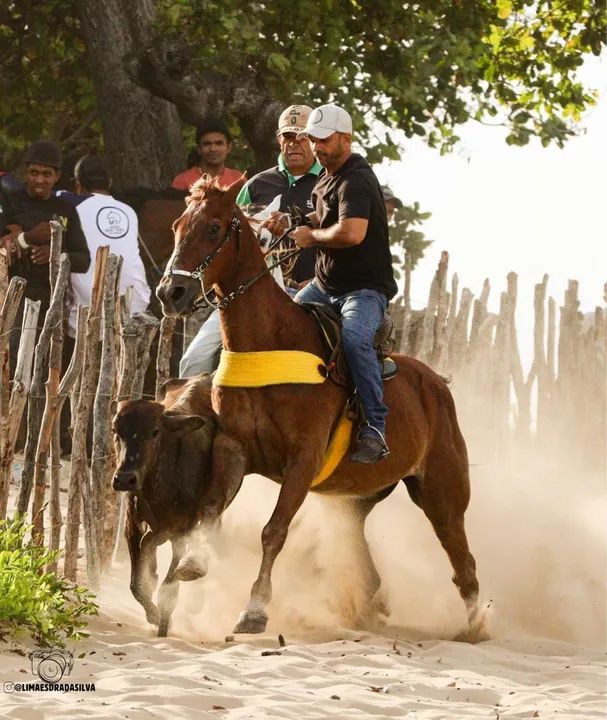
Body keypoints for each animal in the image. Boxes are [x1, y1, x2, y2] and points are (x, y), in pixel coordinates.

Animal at [156, 178, 486, 640]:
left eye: (214, 227)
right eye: (177, 225)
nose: (171, 292)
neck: (270, 340)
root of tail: (437, 385)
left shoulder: (303, 459)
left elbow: (274, 531)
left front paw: (254, 610)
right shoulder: (233, 447)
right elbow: (210, 511)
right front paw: (192, 565)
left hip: (443, 492)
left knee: (463, 559)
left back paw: (475, 627)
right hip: (356, 499)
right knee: (369, 559)